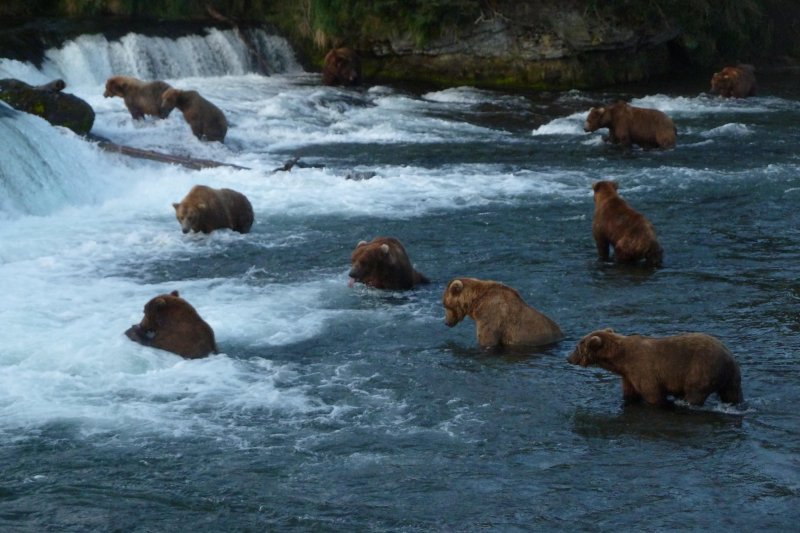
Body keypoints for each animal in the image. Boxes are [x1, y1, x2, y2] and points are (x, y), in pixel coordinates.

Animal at [568, 326, 744, 406]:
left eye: (577, 347)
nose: (568, 358)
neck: (621, 360)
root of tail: (729, 357)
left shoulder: (643, 369)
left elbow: (653, 394)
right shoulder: (628, 375)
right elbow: (630, 393)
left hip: (702, 368)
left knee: (695, 393)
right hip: (731, 377)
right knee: (732, 393)